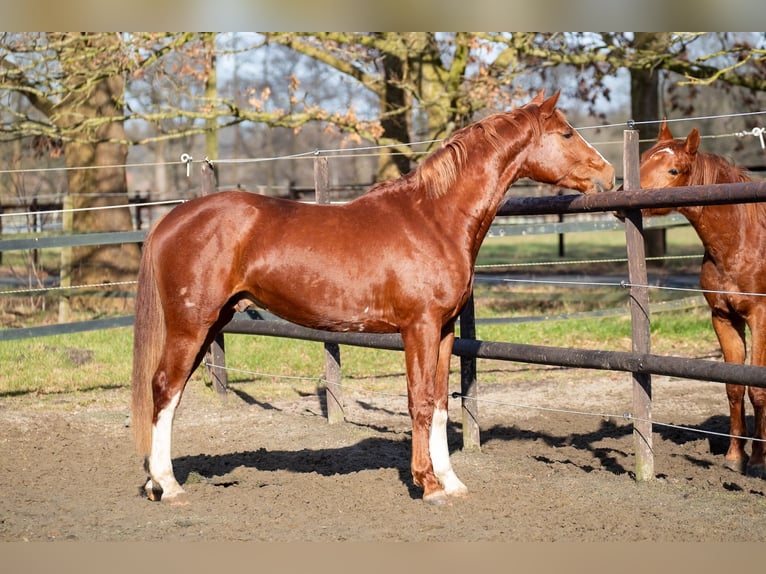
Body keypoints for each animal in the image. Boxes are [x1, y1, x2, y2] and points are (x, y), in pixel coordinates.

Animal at [132, 89, 616, 504]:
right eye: (567, 133)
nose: (609, 174)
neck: (434, 218)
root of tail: (172, 219)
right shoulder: (418, 327)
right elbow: (419, 401)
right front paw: (427, 484)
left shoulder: (443, 329)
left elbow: (440, 404)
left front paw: (451, 481)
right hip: (191, 324)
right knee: (165, 388)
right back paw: (168, 486)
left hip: (213, 322)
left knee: (172, 394)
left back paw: (158, 482)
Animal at [640, 120, 766, 476]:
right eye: (641, 159)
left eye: (674, 169)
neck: (742, 240)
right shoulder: (723, 317)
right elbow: (734, 385)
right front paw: (736, 457)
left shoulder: (760, 317)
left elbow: (757, 388)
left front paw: (759, 460)